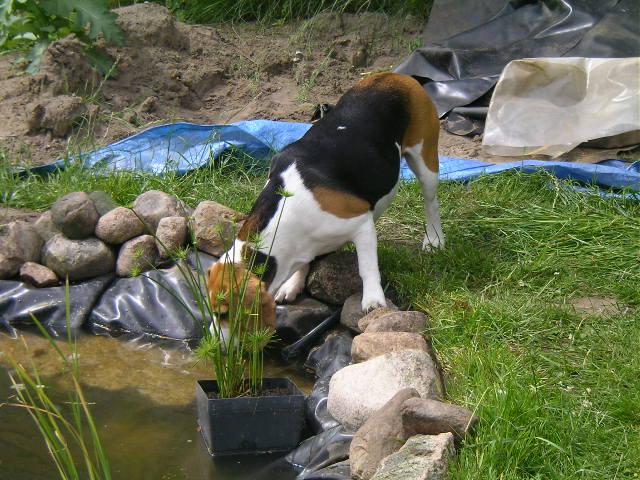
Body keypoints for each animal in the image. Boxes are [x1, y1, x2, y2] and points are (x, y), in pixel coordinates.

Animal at [206, 72, 444, 329]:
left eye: (223, 314)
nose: (213, 340)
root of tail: (396, 75)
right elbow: (304, 263)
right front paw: (294, 282)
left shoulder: (361, 224)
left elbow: (367, 267)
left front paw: (373, 299)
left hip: (425, 158)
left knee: (431, 202)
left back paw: (434, 239)